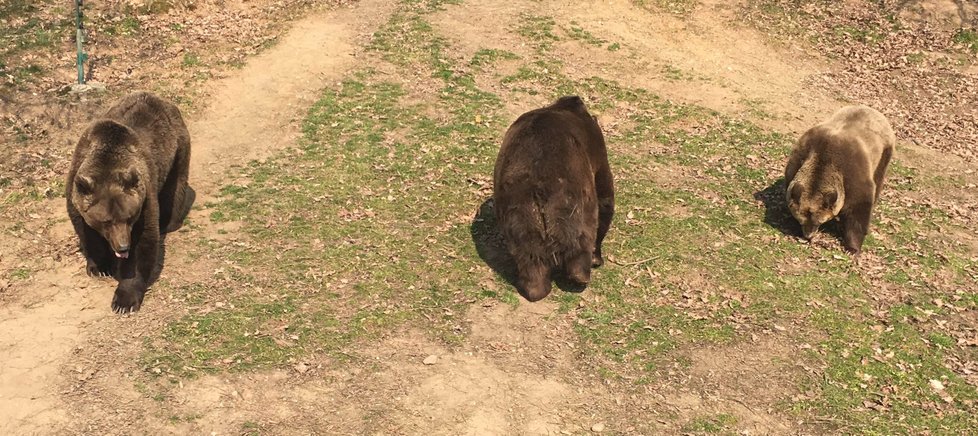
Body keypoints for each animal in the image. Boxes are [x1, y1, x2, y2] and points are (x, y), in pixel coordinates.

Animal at [66, 91, 194, 314]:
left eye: (129, 217)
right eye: (106, 221)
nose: (123, 246)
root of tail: (160, 99)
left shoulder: (144, 199)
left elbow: (143, 244)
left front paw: (124, 301)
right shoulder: (76, 195)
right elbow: (86, 232)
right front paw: (99, 266)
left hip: (177, 149)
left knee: (174, 189)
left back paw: (169, 223)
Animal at [492, 95, 612, 302]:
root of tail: (539, 186)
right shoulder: (597, 149)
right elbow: (606, 197)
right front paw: (598, 257)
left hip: (519, 209)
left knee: (530, 254)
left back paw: (535, 288)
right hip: (572, 200)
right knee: (583, 234)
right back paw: (581, 274)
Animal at [784, 105, 892, 254]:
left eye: (819, 222)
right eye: (801, 220)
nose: (808, 236)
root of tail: (874, 111)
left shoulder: (853, 177)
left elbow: (858, 214)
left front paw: (852, 247)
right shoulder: (799, 158)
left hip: (883, 154)